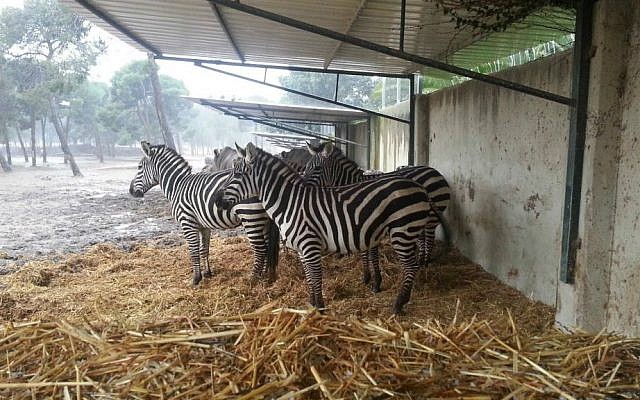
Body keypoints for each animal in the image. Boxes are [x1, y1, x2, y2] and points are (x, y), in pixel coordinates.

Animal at [129, 141, 279, 285]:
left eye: (139, 167)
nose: (130, 191)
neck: (177, 186)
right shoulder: (203, 226)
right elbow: (204, 249)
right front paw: (207, 273)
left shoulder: (187, 223)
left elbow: (194, 251)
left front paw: (196, 279)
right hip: (264, 220)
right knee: (267, 248)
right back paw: (265, 275)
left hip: (250, 216)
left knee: (260, 249)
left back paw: (253, 280)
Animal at [214, 142, 435, 314]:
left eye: (238, 173)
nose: (216, 200)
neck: (289, 203)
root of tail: (418, 186)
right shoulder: (301, 250)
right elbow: (309, 279)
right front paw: (312, 305)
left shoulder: (309, 245)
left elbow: (316, 277)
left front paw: (320, 309)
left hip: (402, 230)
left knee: (410, 266)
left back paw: (399, 304)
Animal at [303, 141, 451, 291]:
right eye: (307, 167)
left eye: (317, 168)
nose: (302, 186)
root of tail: (435, 171)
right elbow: (364, 252)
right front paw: (366, 277)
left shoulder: (369, 224)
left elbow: (372, 254)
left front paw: (376, 282)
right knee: (422, 239)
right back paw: (421, 263)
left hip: (431, 216)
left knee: (429, 238)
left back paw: (425, 265)